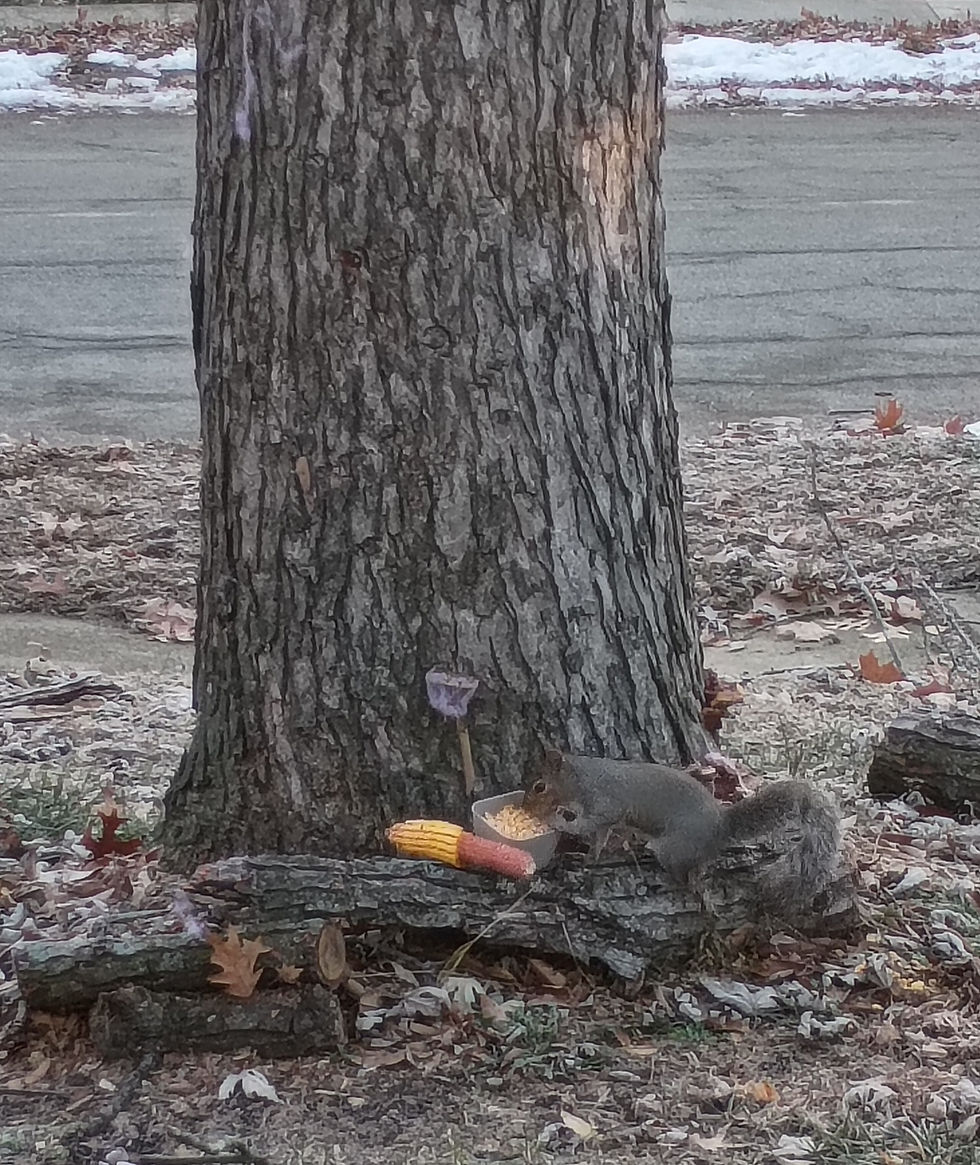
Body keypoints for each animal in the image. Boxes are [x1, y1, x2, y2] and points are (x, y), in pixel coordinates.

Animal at [522, 750, 840, 916]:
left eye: (539, 786)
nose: (524, 806)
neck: (581, 779)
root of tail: (720, 828)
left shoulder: (605, 805)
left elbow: (588, 825)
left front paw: (554, 821)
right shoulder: (604, 822)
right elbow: (599, 840)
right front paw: (590, 856)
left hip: (674, 850)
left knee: (687, 877)